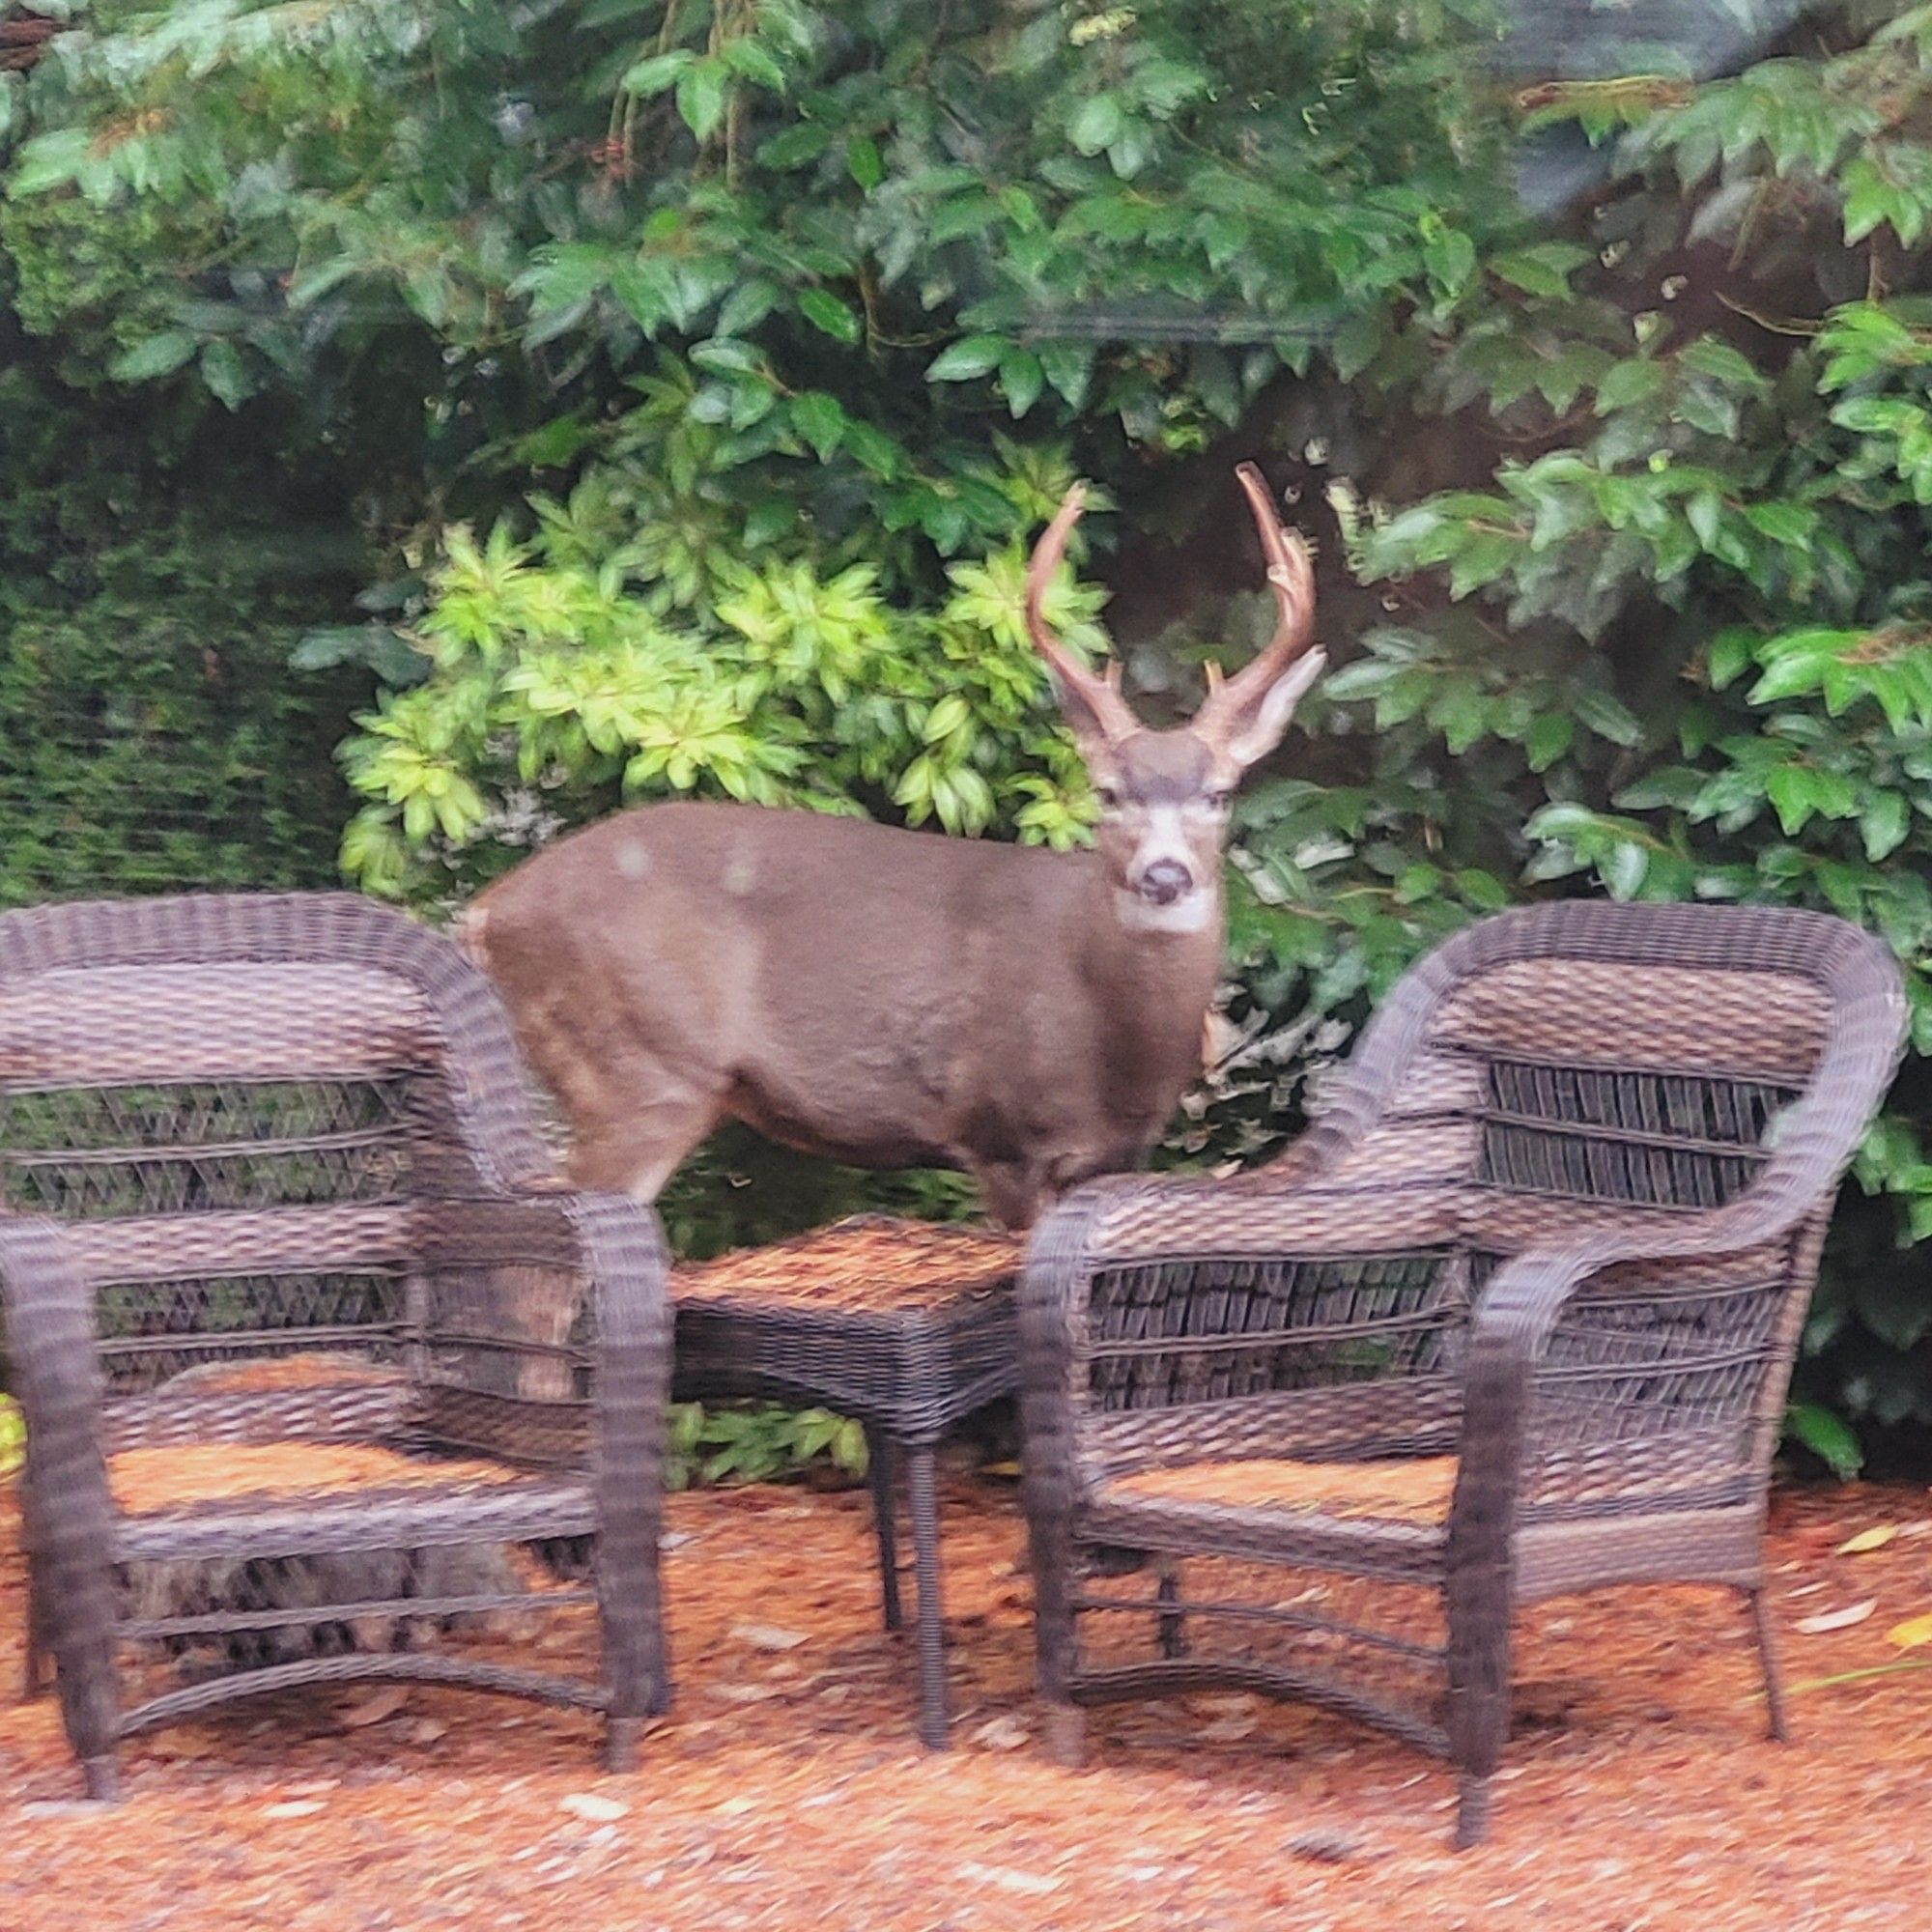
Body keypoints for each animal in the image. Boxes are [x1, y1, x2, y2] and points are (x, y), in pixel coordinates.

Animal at [460, 460, 1321, 1229]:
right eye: (1107, 793)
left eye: (1220, 793)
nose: (1165, 875)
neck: (1115, 1041)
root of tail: (488, 912)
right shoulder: (1001, 1135)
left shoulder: (1111, 1158)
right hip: (638, 1068)